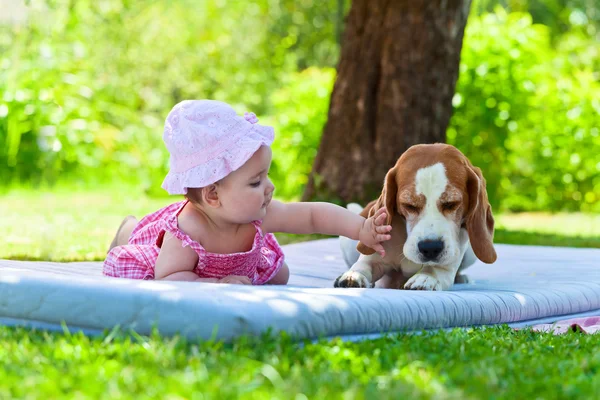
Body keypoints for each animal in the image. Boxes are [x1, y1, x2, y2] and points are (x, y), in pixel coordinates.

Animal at [332, 144, 496, 290]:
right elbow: (362, 266)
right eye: (409, 205)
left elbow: (436, 270)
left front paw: (426, 277)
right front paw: (353, 275)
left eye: (451, 204)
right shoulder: (374, 257)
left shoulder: (448, 263)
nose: (430, 248)